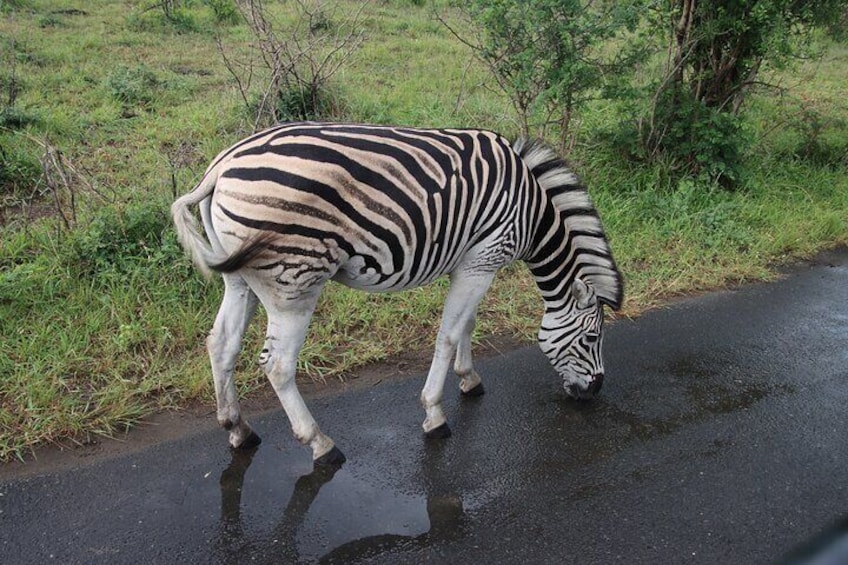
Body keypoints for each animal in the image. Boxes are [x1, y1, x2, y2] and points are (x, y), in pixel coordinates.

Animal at [172, 121, 624, 464]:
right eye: (591, 338)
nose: (595, 392)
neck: (531, 214)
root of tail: (221, 166)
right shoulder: (484, 257)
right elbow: (448, 334)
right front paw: (435, 415)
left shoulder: (471, 261)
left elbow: (467, 324)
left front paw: (469, 379)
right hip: (294, 283)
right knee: (278, 365)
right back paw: (320, 444)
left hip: (241, 279)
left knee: (221, 344)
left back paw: (238, 429)